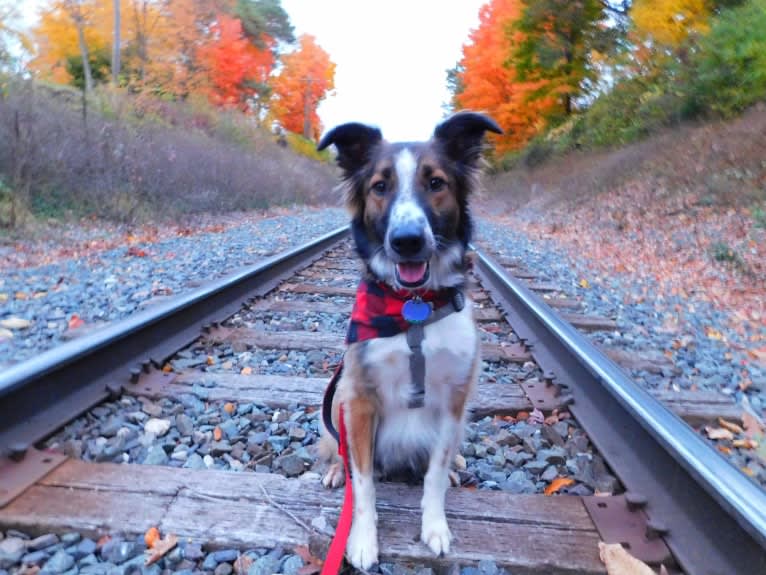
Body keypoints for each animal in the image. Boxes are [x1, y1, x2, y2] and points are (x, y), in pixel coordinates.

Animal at [316, 110, 500, 568]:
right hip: (336, 401)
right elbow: (363, 483)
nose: (407, 241)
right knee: (338, 450)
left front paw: (435, 527)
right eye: (380, 187)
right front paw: (362, 540)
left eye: (436, 183)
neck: (412, 306)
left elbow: (433, 476)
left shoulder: (454, 399)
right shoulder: (359, 400)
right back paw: (335, 470)